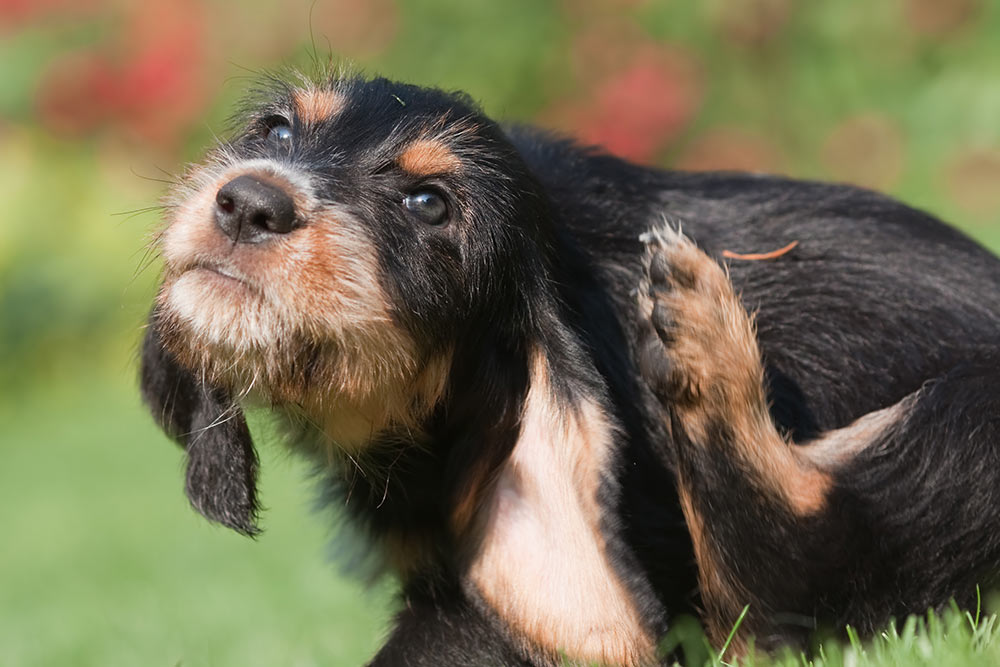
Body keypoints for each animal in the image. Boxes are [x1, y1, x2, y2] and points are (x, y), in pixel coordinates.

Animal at [139, 74, 1000, 667]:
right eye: (277, 128)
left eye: (429, 204)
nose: (249, 201)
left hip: (968, 420)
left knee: (791, 582)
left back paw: (705, 339)